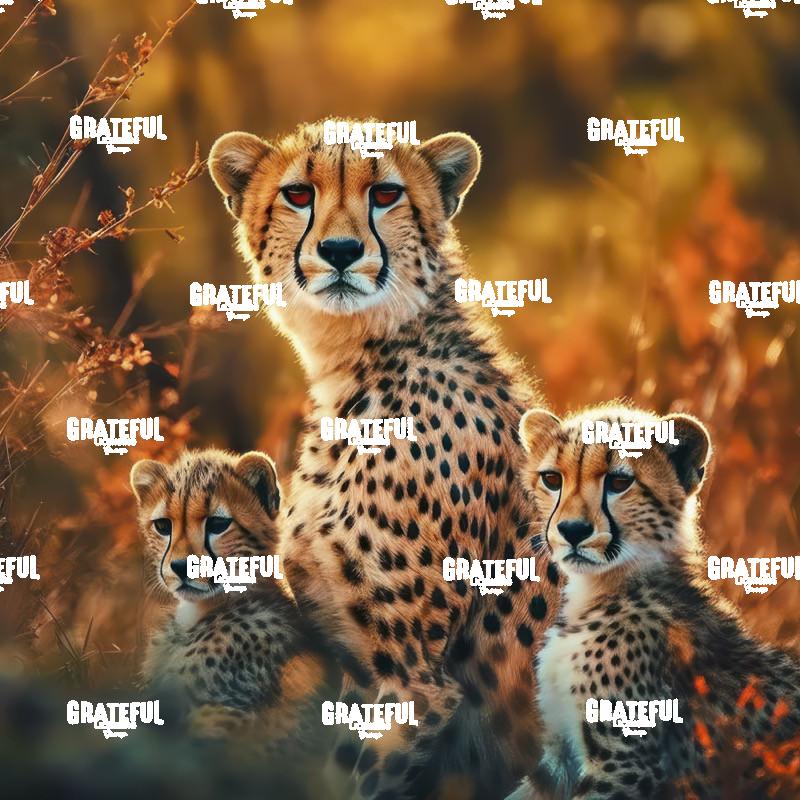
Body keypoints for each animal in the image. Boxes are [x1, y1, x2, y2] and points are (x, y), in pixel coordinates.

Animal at [207, 120, 561, 799]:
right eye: (298, 195)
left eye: (386, 194)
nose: (342, 250)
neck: (357, 368)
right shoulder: (357, 667)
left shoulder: (413, 681)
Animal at [515, 403, 800, 800]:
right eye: (552, 479)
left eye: (619, 483)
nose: (572, 530)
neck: (597, 591)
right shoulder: (558, 759)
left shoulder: (625, 766)